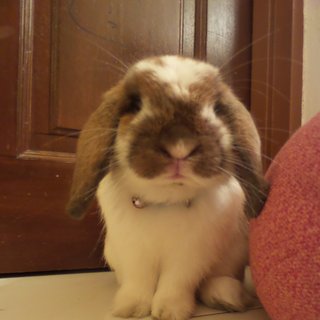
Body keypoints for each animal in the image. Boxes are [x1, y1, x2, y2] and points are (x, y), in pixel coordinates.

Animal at [67, 56, 268, 318]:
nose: (180, 146)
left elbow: (175, 282)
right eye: (135, 104)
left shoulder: (190, 256)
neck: (166, 199)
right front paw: (131, 308)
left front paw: (170, 310)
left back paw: (226, 298)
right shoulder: (133, 252)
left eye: (217, 108)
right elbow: (138, 281)